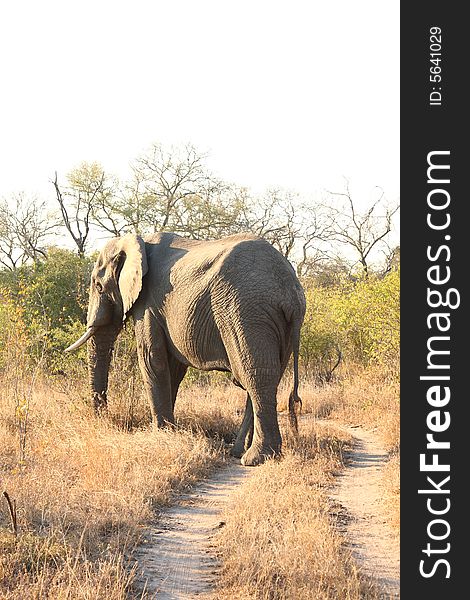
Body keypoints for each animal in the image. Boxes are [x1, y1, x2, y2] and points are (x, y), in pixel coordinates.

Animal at [67, 232, 308, 466]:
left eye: (99, 287)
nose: (104, 418)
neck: (136, 241)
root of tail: (291, 291)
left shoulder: (147, 304)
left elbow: (152, 360)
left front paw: (161, 434)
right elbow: (173, 369)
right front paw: (170, 431)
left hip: (245, 312)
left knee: (254, 375)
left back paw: (255, 458)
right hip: (275, 324)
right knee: (265, 376)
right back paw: (239, 451)